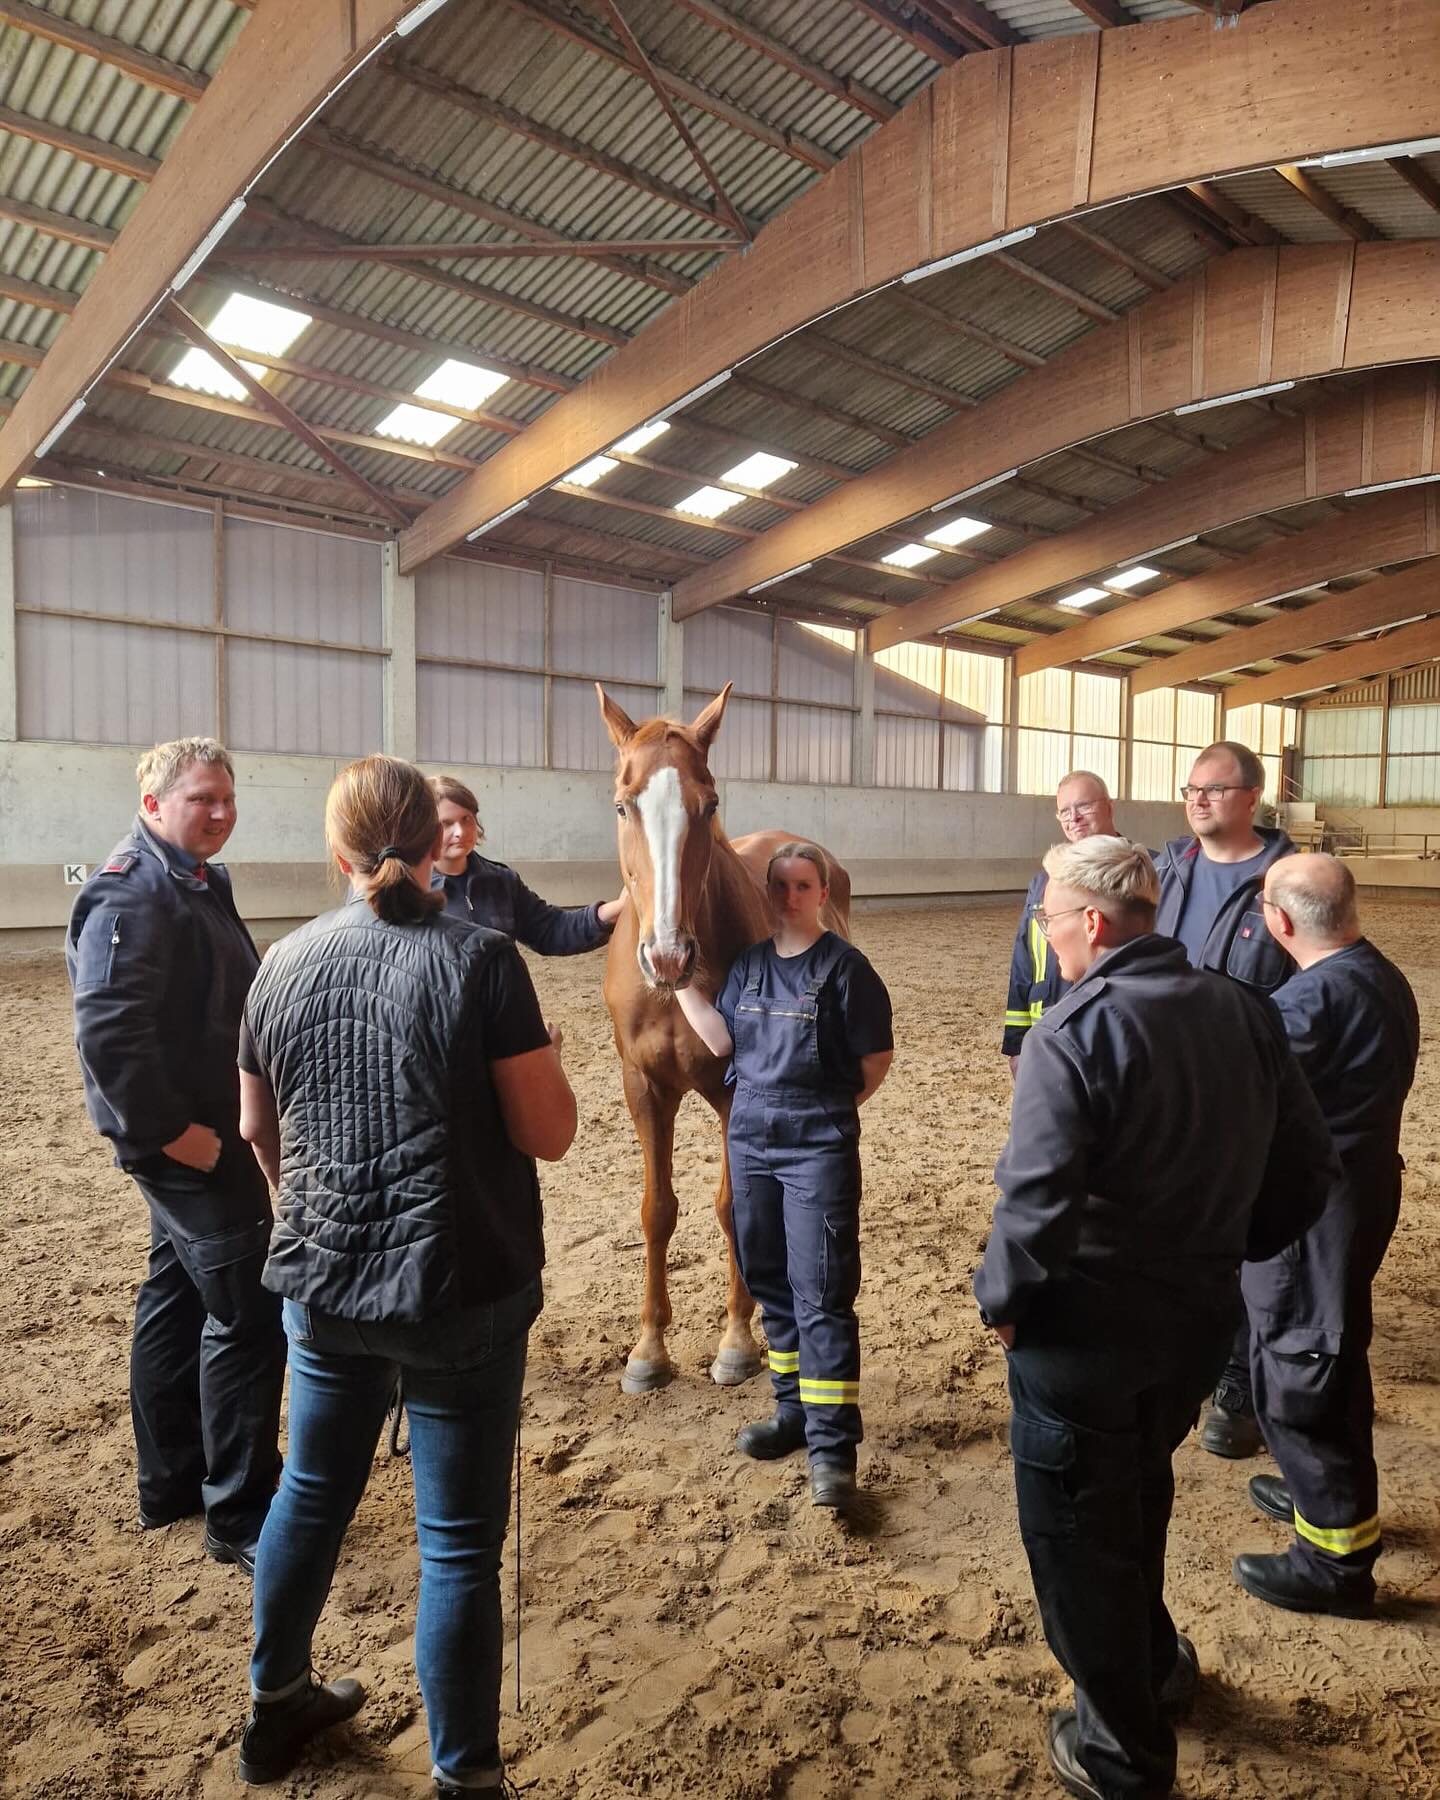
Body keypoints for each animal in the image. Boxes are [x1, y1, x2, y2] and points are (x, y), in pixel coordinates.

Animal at [596, 681, 852, 1395]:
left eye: (707, 804)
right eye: (623, 804)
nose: (668, 956)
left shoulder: (738, 1094)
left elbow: (737, 1204)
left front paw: (738, 1341)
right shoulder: (644, 1087)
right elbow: (657, 1210)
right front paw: (648, 1350)